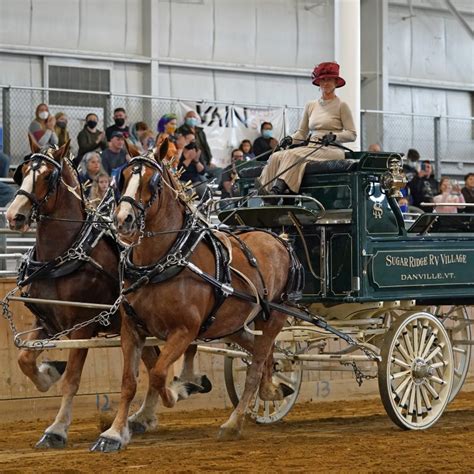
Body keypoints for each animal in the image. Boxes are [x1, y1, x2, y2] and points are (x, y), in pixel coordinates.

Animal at [4, 140, 207, 448]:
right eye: (23, 172)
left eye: (48, 177)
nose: (13, 215)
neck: (64, 253)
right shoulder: (46, 321)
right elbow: (25, 360)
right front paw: (49, 373)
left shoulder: (82, 328)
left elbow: (72, 379)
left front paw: (56, 429)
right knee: (152, 366)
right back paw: (144, 416)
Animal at [90, 142, 302, 452]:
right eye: (123, 177)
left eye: (153, 182)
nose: (122, 219)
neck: (164, 260)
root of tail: (280, 239)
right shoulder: (132, 328)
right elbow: (129, 382)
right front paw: (114, 433)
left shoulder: (184, 331)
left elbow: (158, 375)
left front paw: (179, 390)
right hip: (233, 325)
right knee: (261, 354)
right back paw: (273, 388)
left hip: (274, 317)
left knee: (257, 363)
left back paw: (234, 423)